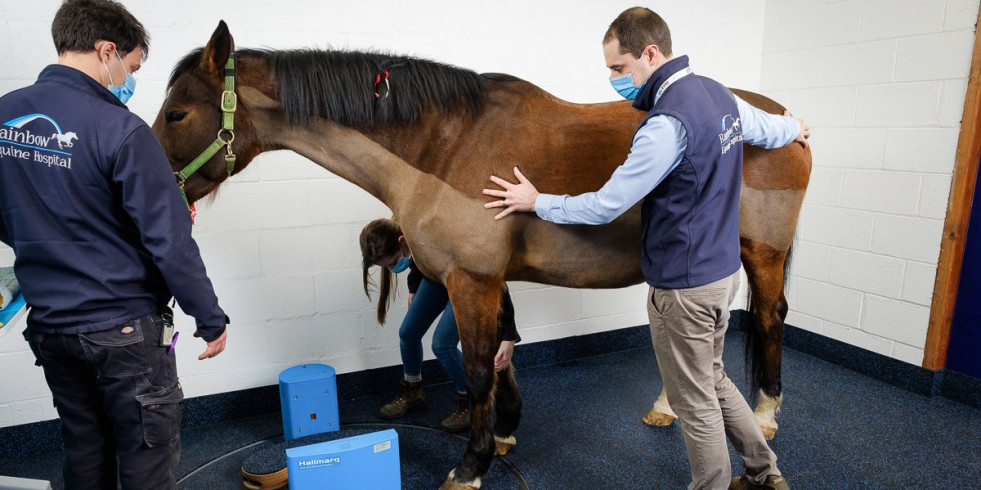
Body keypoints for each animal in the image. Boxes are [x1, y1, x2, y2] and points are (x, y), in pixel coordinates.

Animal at [151, 21, 812, 488]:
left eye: (179, 111)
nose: (155, 187)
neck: (445, 145)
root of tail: (784, 121)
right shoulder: (489, 281)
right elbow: (501, 356)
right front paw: (505, 433)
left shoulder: (472, 279)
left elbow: (475, 366)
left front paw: (470, 465)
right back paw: (666, 408)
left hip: (763, 254)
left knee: (770, 319)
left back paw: (767, 417)